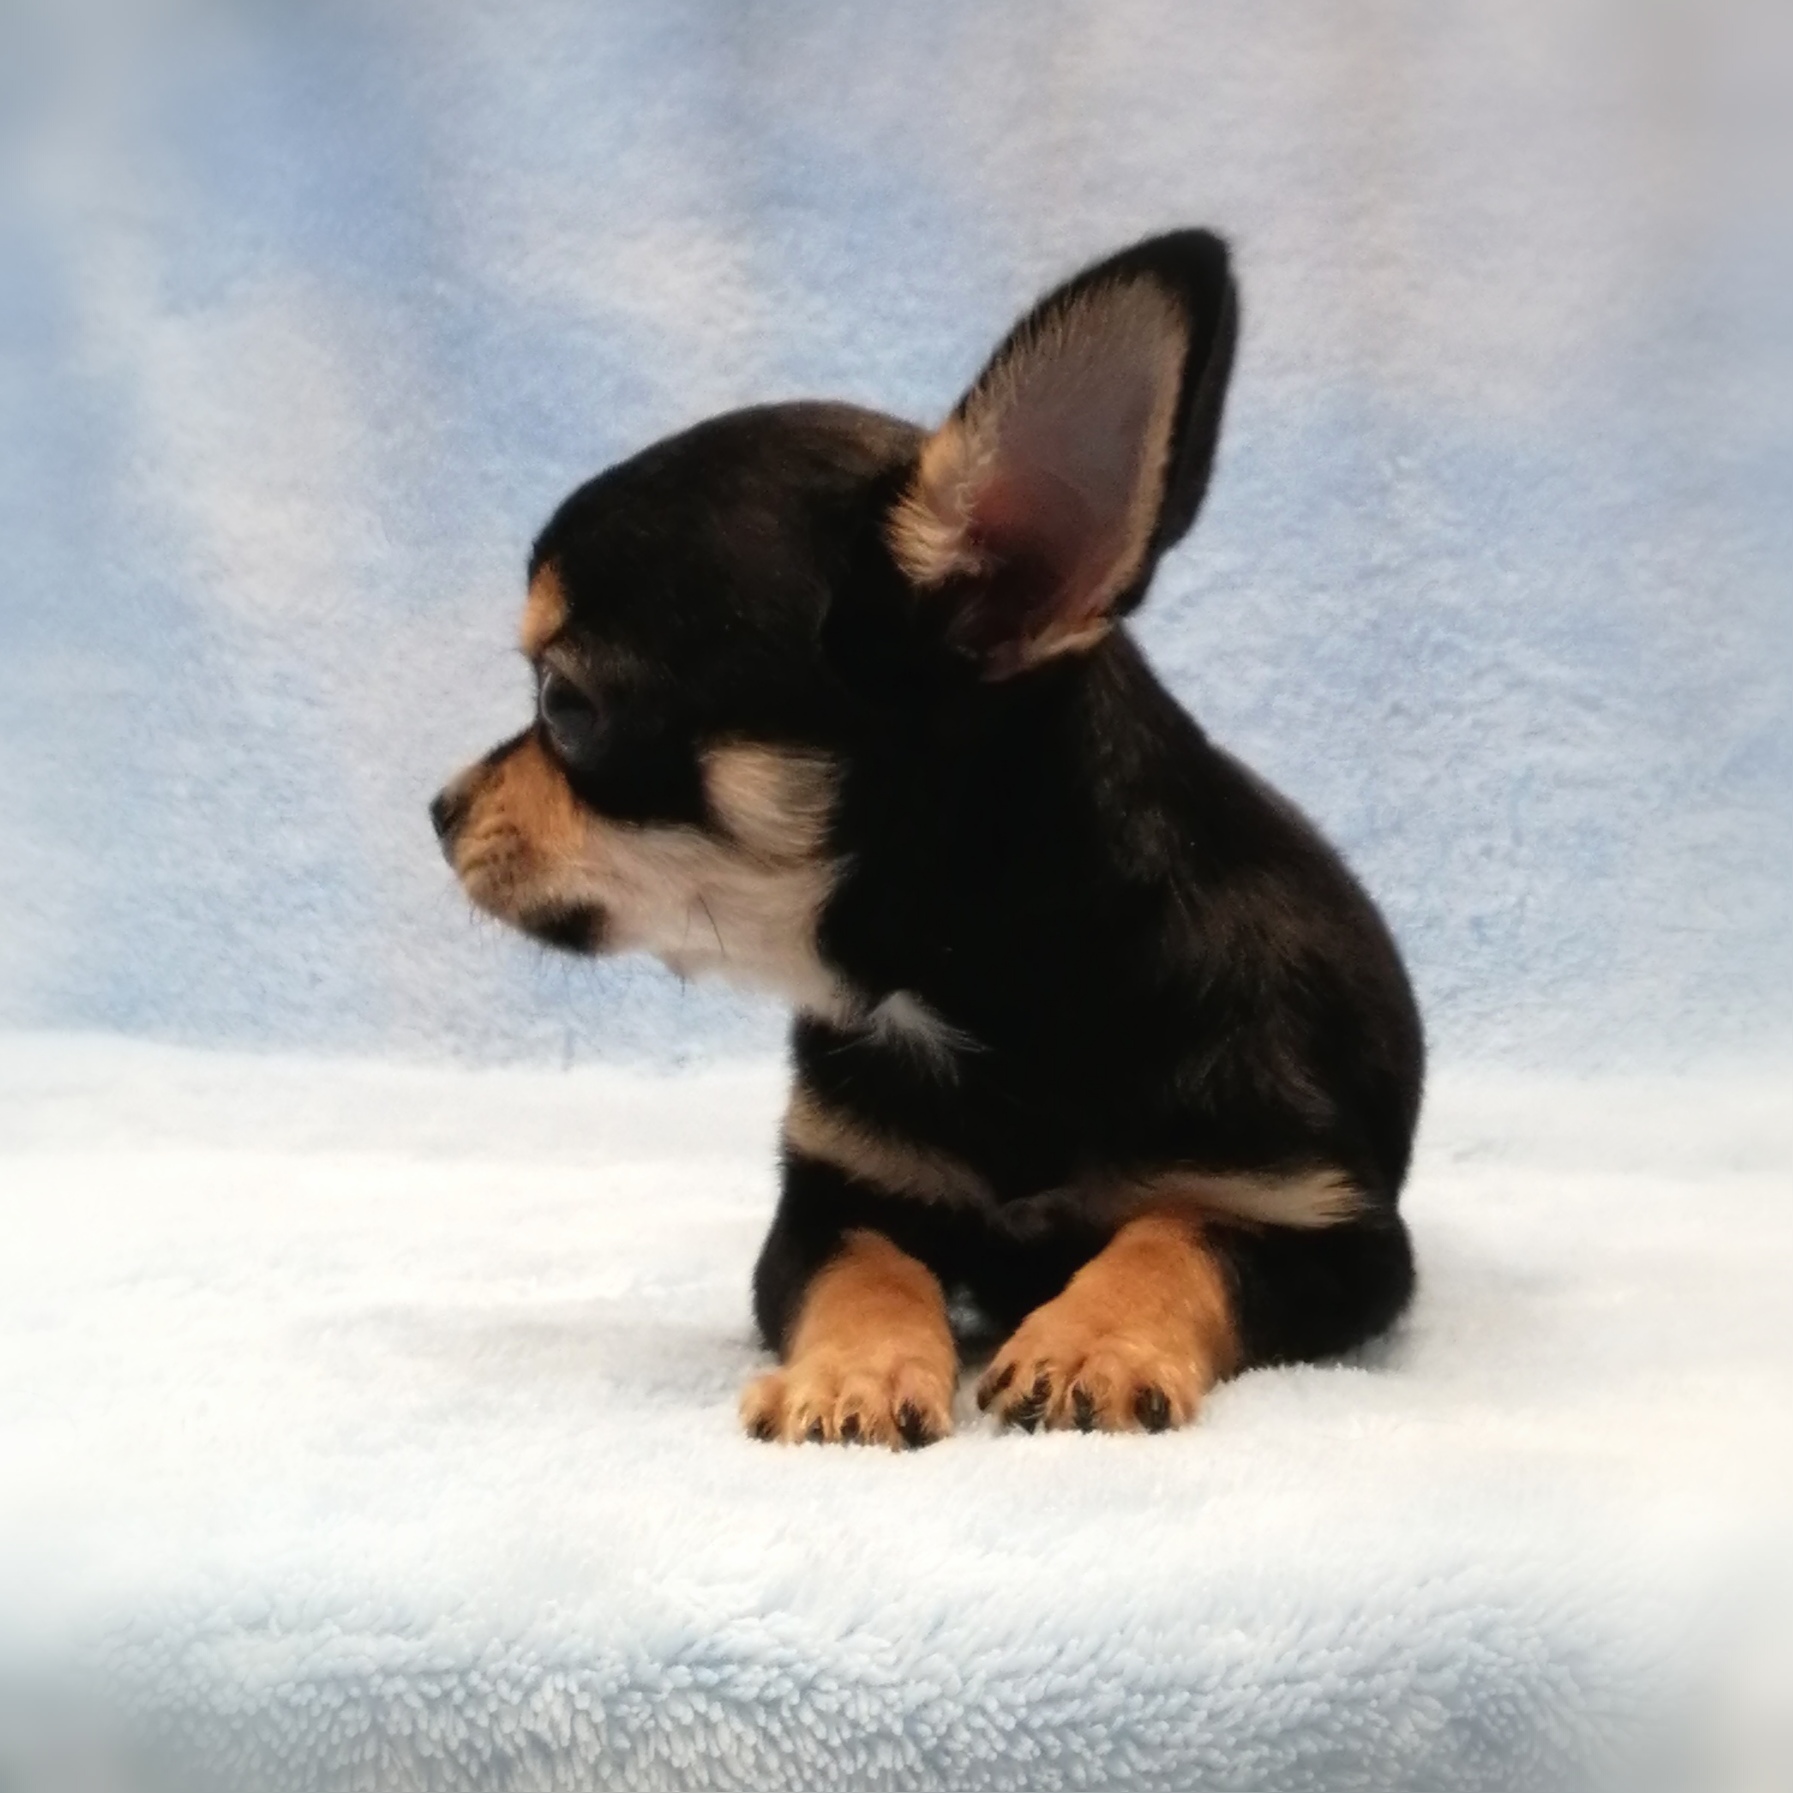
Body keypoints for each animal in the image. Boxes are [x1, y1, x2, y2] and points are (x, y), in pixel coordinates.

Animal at [431, 230, 1423, 1449]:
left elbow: (1177, 1234)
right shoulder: (833, 1199)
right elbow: (865, 1268)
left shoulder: (1328, 1230)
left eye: (564, 706)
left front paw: (1087, 1341)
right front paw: (852, 1373)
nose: (439, 807)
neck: (985, 1000)